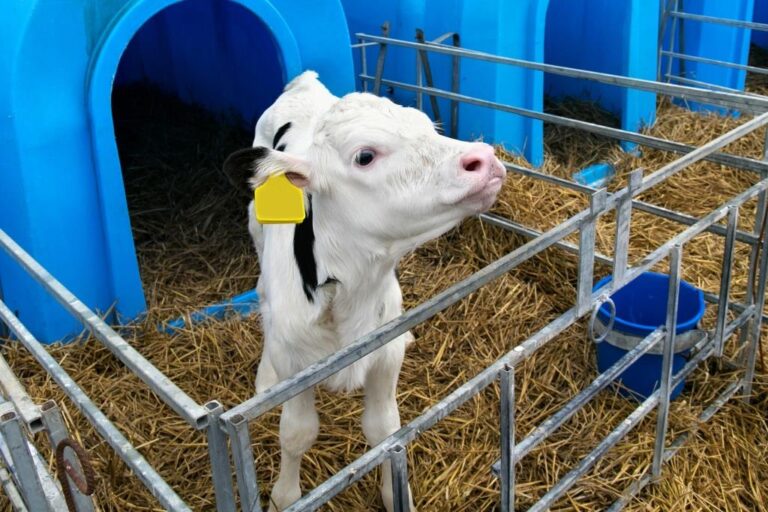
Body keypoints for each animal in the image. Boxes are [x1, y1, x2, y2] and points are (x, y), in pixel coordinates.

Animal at [223, 71, 505, 511]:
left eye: (429, 127)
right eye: (365, 156)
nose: (484, 158)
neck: (348, 288)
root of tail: (305, 84)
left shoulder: (384, 354)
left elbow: (385, 430)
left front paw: (395, 494)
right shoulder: (295, 365)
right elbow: (297, 434)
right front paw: (285, 496)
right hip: (256, 226)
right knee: (261, 290)